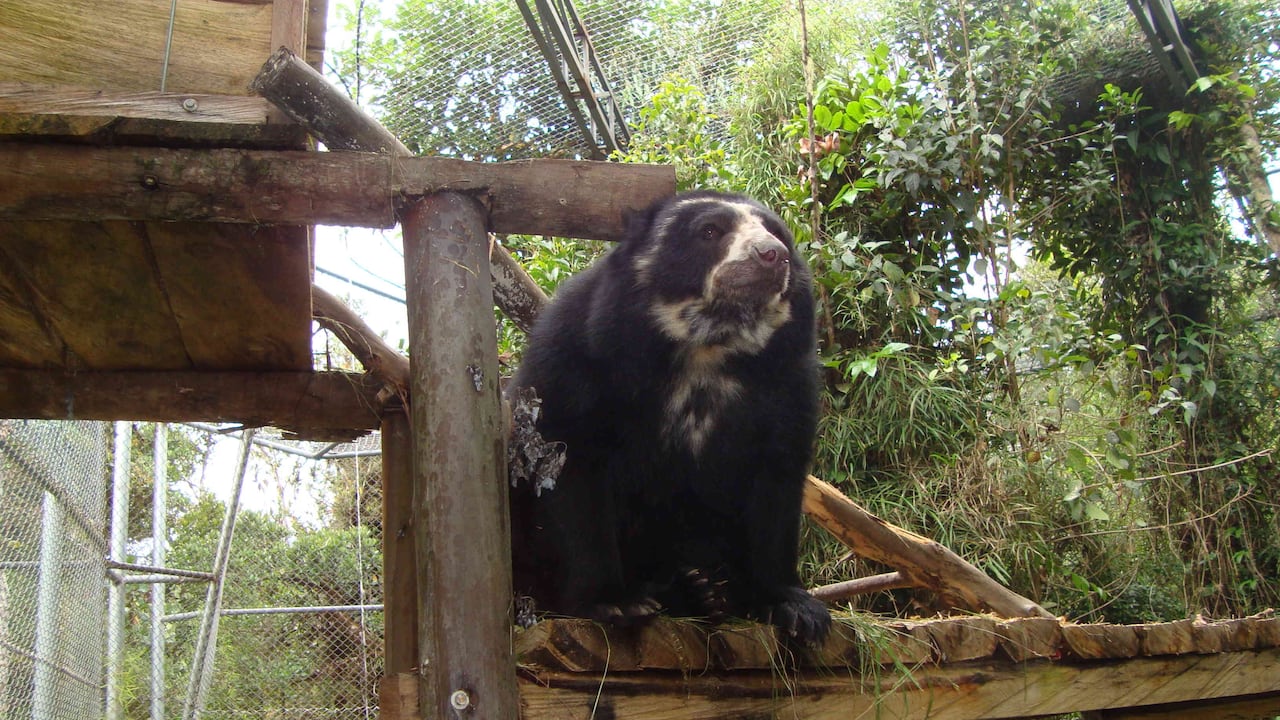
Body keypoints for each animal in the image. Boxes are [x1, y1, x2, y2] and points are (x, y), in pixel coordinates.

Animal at [509, 190, 831, 645]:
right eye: (710, 231)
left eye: (776, 232)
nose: (773, 255)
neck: (707, 347)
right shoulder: (577, 357)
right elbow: (572, 467)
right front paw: (614, 602)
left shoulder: (789, 382)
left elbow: (777, 481)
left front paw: (795, 608)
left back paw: (706, 590)